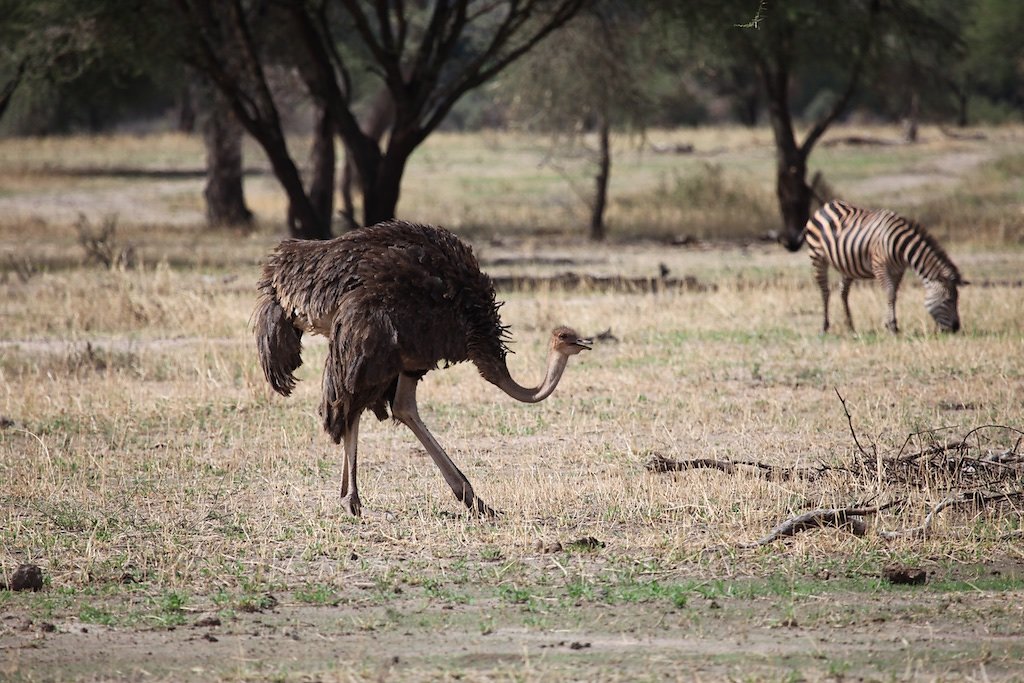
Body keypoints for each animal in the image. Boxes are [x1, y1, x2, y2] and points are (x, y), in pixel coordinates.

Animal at [802, 198, 962, 335]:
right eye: (948, 300)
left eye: (957, 300)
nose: (956, 328)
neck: (900, 246)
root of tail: (826, 205)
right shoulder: (879, 267)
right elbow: (890, 293)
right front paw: (892, 326)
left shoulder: (898, 270)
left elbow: (894, 295)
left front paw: (891, 324)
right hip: (817, 257)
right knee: (825, 291)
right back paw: (824, 327)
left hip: (846, 264)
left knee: (843, 292)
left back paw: (851, 328)